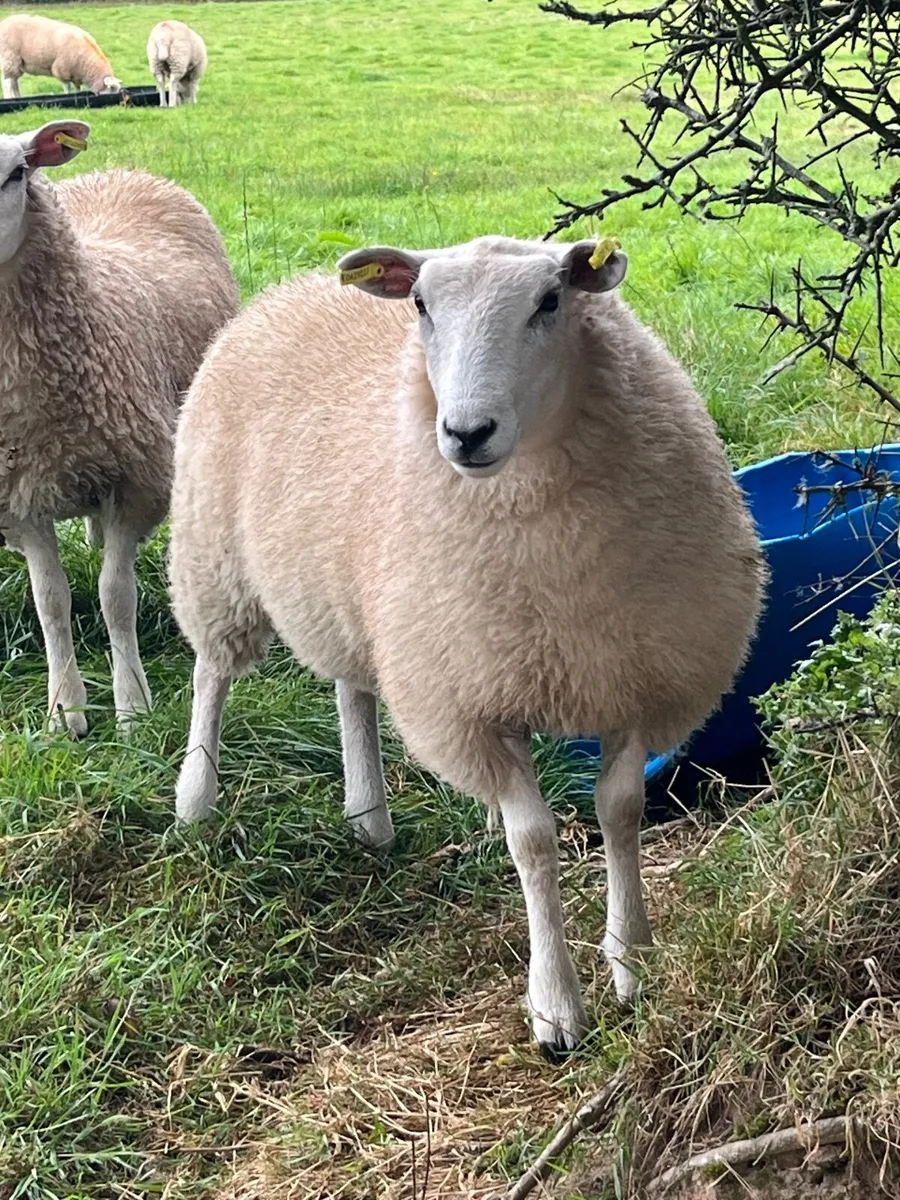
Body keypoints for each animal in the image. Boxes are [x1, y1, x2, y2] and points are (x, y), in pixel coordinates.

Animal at [0, 119, 239, 737]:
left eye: (17, 172)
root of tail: (123, 171)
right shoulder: (21, 496)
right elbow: (51, 601)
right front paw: (67, 711)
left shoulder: (133, 484)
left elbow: (115, 596)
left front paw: (132, 707)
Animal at [168, 235, 765, 1056]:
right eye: (421, 304)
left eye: (551, 301)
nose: (466, 433)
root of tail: (286, 291)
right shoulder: (470, 700)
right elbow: (534, 842)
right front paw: (555, 1008)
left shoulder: (631, 677)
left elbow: (619, 812)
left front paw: (633, 961)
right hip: (214, 553)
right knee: (212, 671)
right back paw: (195, 800)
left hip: (356, 597)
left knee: (353, 687)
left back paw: (369, 817)